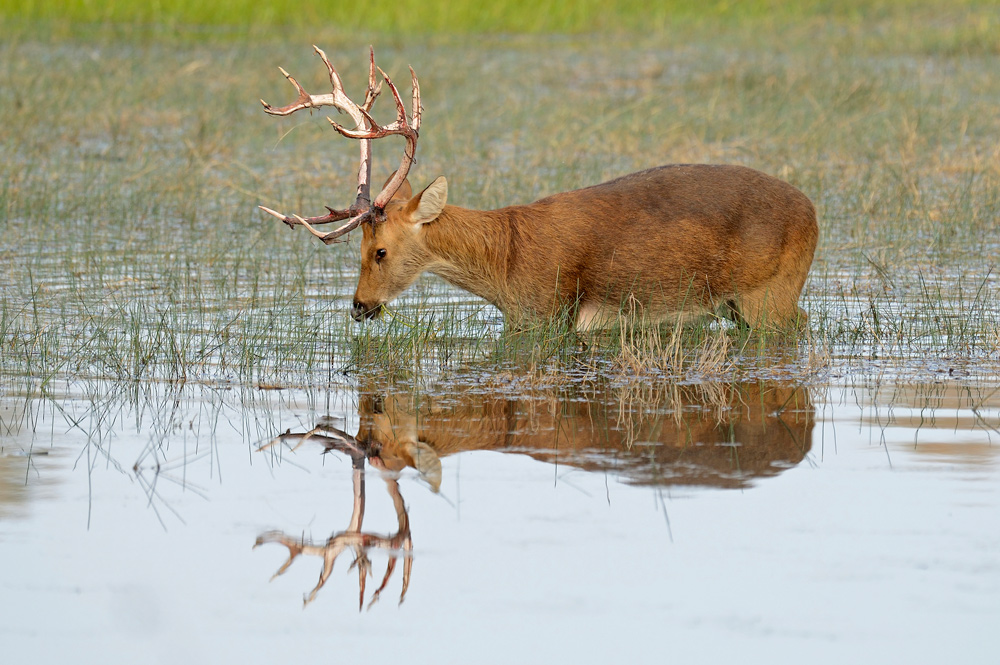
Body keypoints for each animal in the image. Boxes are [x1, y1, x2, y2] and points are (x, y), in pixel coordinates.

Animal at [260, 46, 820, 332]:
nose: (359, 306)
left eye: (379, 251)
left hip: (769, 291)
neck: (503, 263)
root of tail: (814, 214)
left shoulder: (548, 313)